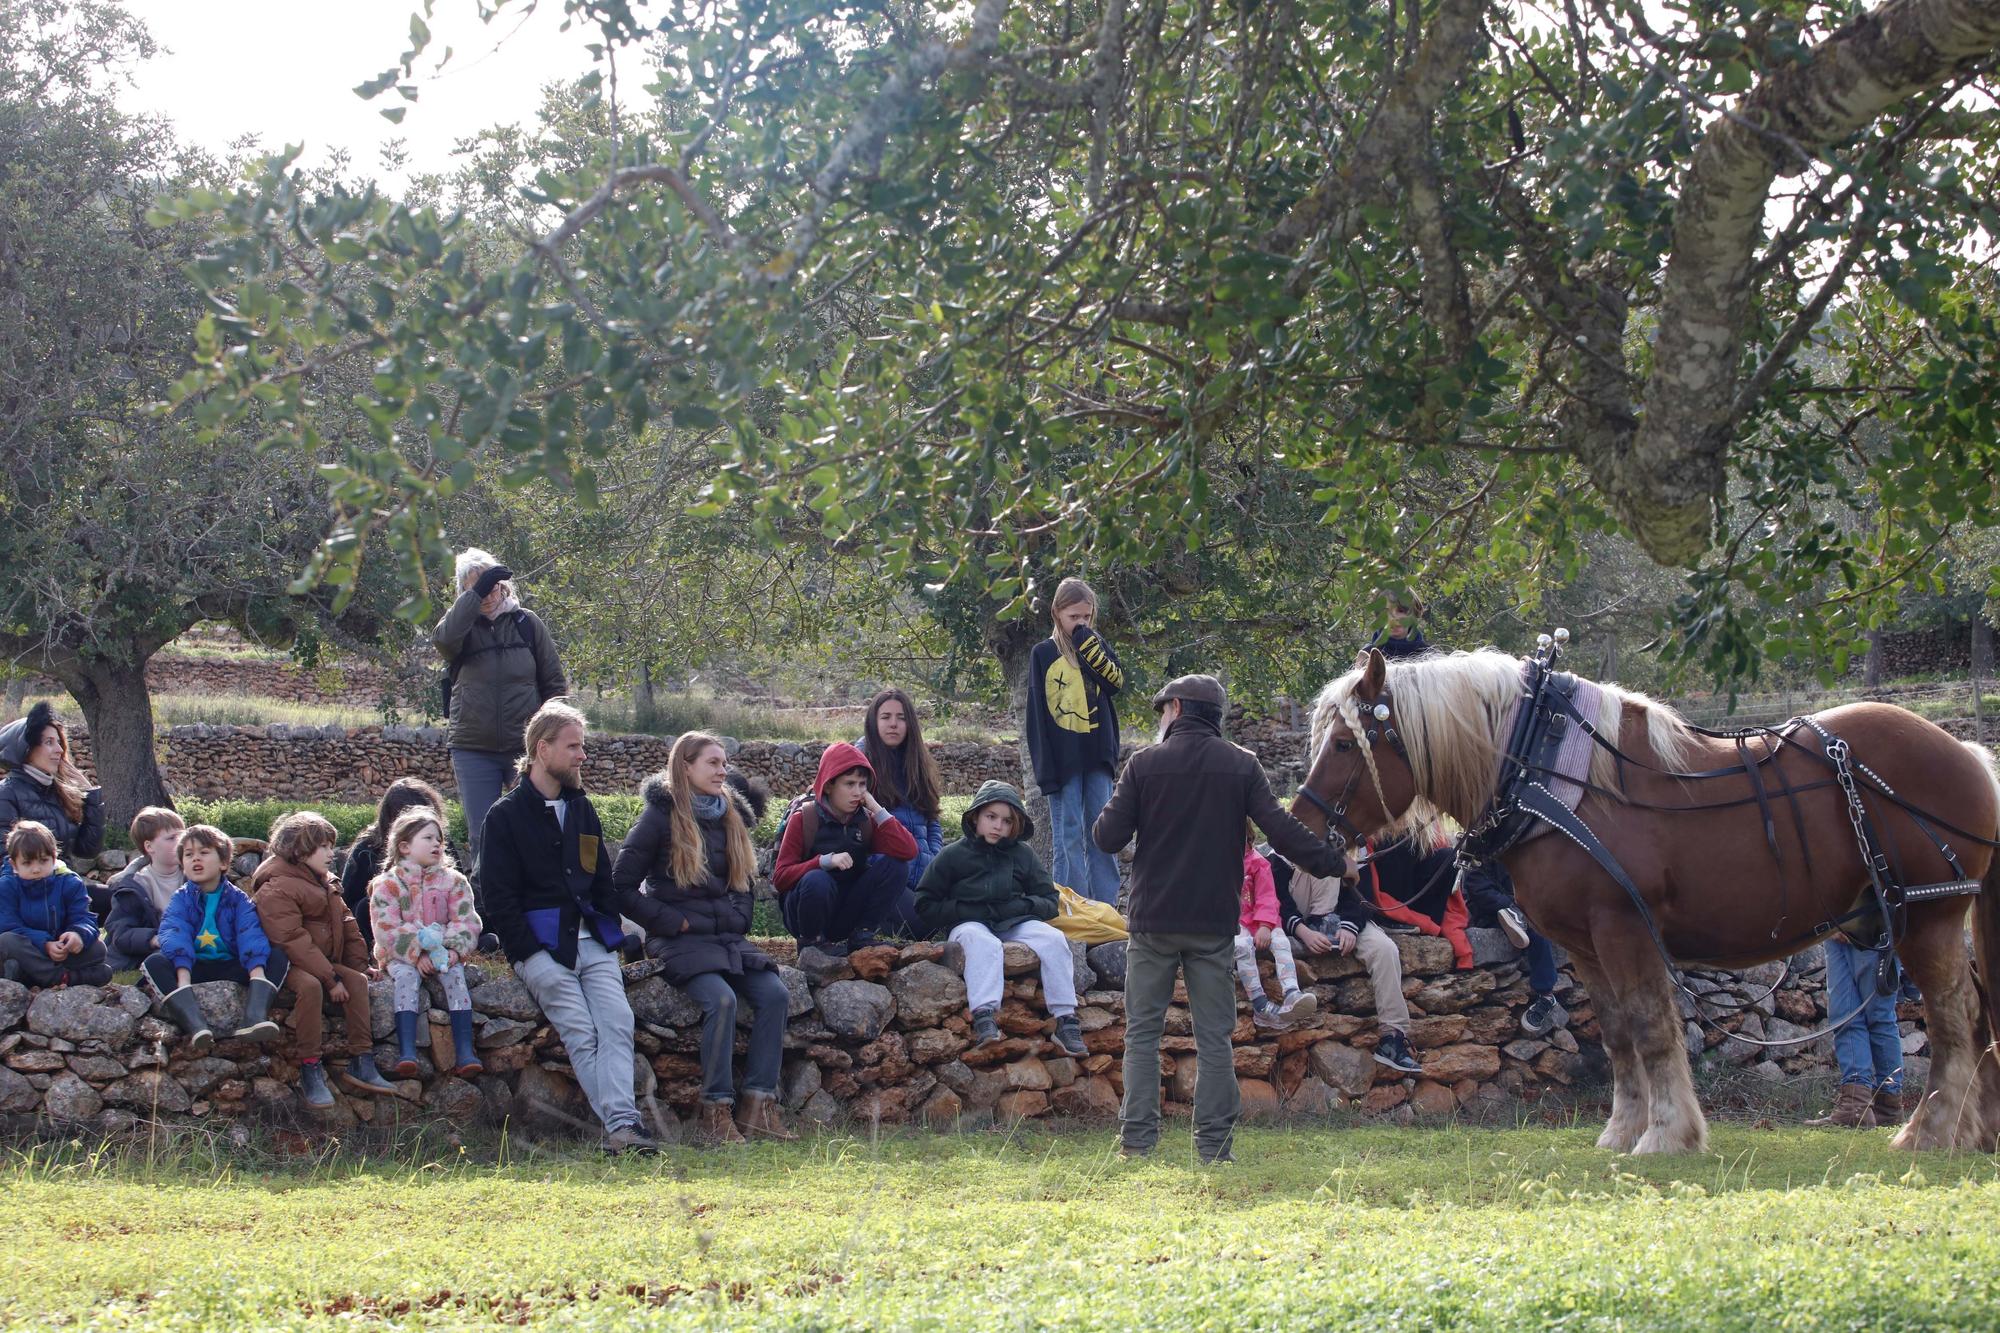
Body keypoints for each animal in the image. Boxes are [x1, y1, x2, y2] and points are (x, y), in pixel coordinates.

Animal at [1296, 644, 2000, 1152]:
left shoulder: (1622, 928)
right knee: (1977, 1013)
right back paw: (1977, 1128)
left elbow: (1651, 1028)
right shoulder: (1584, 945)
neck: (1554, 776)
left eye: (1344, 744)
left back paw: (1931, 1131)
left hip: (1927, 916)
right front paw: (1622, 1129)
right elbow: (1615, 1034)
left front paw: (1667, 1135)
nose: (1300, 830)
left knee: (1954, 1015)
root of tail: (1965, 750)